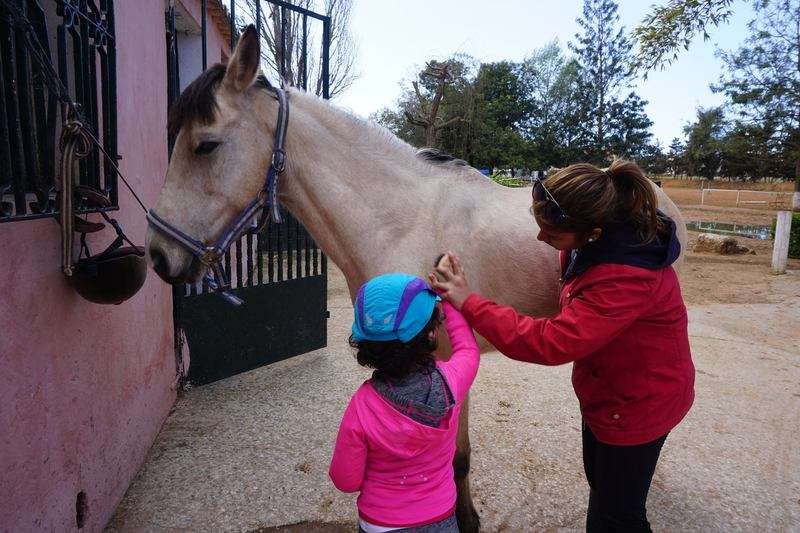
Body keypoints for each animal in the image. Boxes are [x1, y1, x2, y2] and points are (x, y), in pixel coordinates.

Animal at [147, 26, 684, 532]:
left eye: (206, 144)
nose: (158, 255)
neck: (400, 221)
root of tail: (655, 196)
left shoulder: (445, 357)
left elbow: (457, 457)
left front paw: (465, 520)